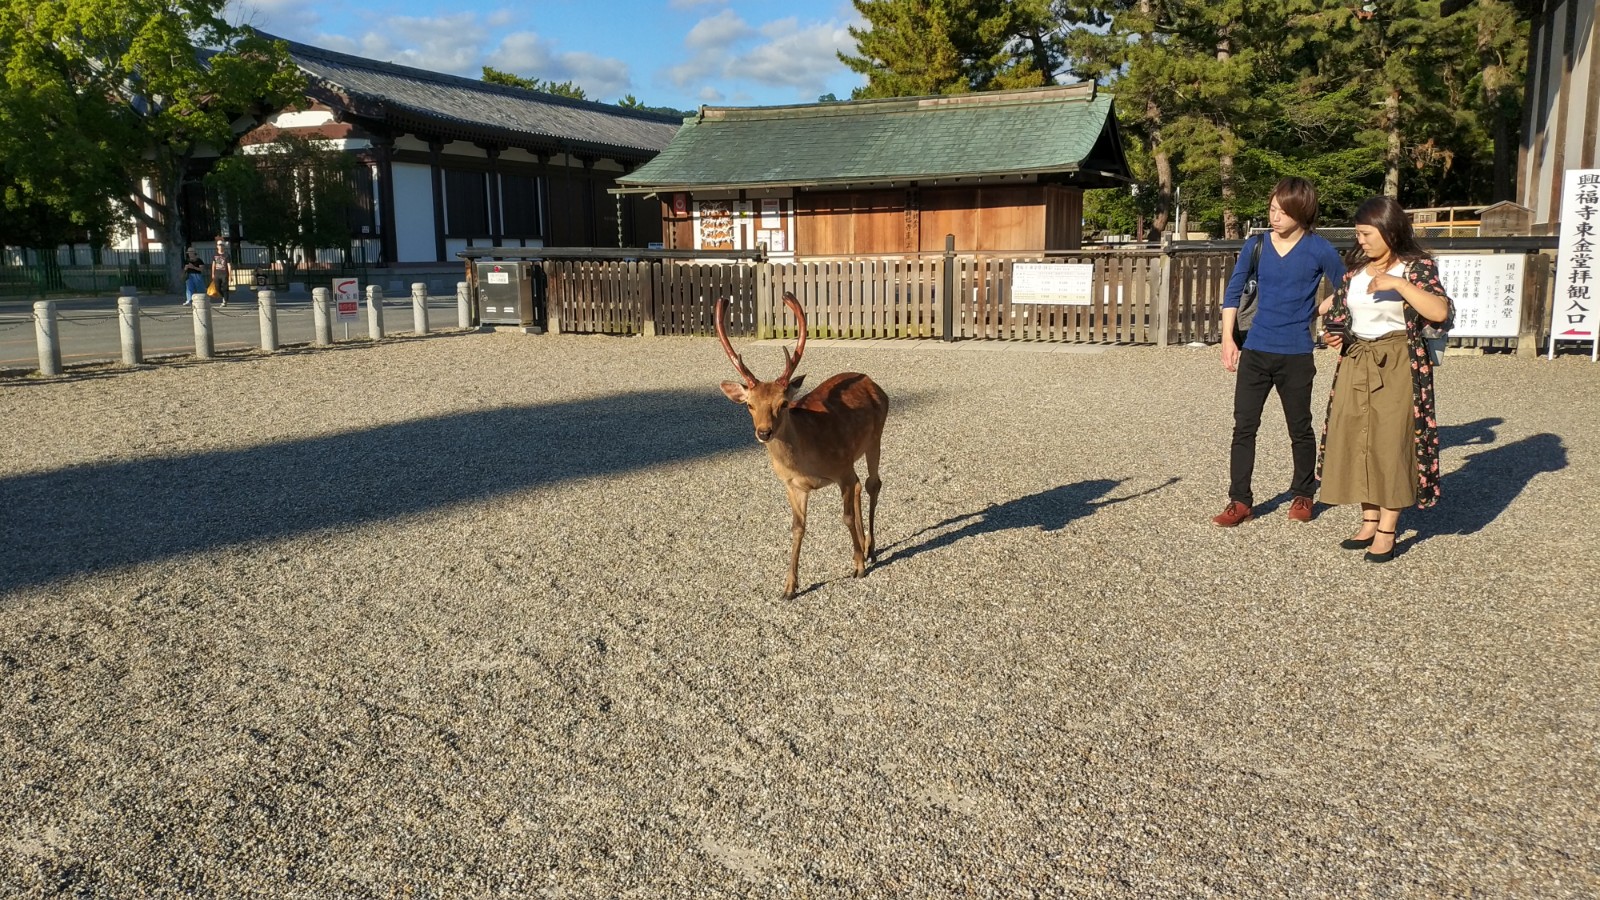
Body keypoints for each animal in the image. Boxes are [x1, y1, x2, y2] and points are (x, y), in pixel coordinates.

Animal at [716, 291, 889, 600]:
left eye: (783, 403)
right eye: (749, 405)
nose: (764, 432)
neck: (808, 457)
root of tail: (871, 381)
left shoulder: (841, 469)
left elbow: (845, 517)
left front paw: (857, 566)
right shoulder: (792, 485)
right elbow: (797, 527)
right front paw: (789, 586)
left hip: (876, 436)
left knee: (871, 483)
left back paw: (870, 548)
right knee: (860, 485)